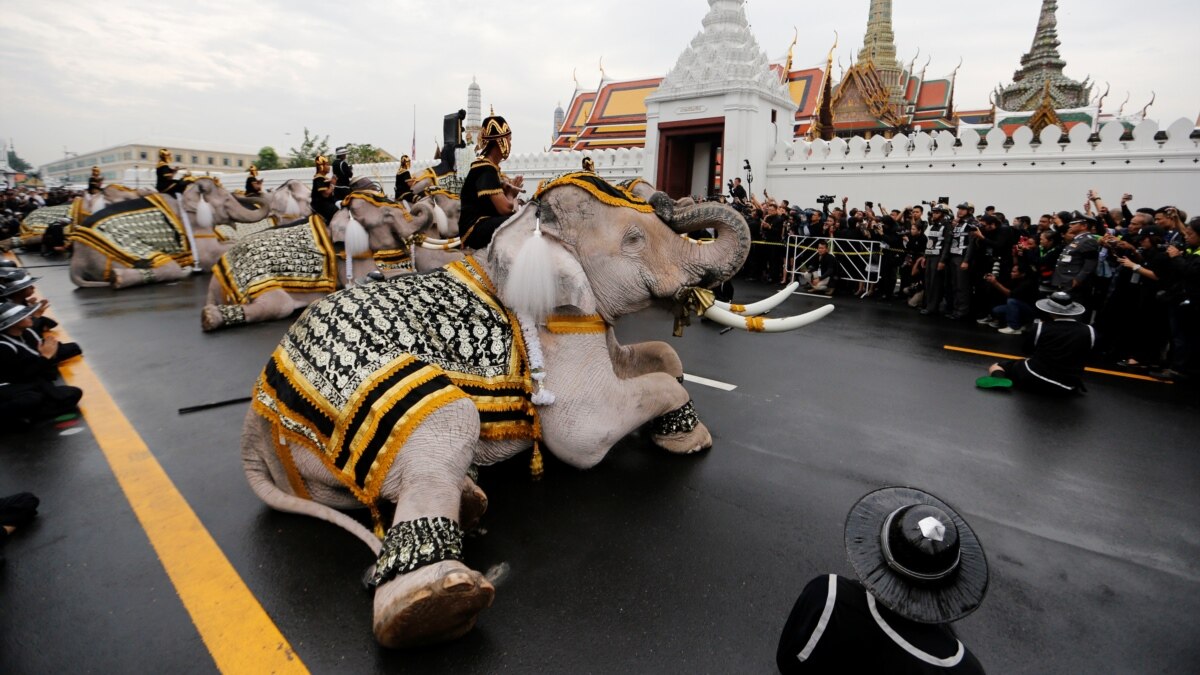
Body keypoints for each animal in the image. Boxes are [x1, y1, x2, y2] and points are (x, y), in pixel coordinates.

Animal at [69, 176, 271, 285]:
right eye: (227, 201)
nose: (258, 188)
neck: (187, 193)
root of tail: (76, 261)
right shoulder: (194, 224)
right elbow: (210, 255)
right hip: (120, 249)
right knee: (168, 268)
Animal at [238, 171, 830, 648]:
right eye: (633, 239)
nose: (665, 194)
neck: (526, 231)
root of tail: (252, 427)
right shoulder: (553, 328)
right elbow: (585, 433)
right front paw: (688, 439)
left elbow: (660, 358)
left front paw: (673, 415)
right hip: (365, 397)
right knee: (449, 420)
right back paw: (434, 604)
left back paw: (471, 498)